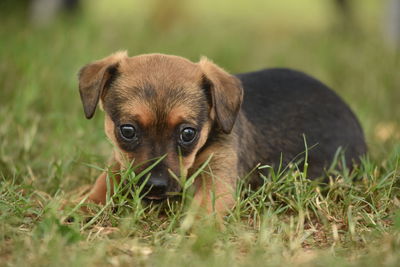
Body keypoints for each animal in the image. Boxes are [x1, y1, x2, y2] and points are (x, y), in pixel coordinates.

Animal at [76, 51, 368, 217]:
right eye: (127, 130)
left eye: (188, 134)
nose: (155, 186)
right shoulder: (119, 163)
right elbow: (103, 183)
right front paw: (79, 207)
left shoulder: (219, 180)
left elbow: (204, 210)